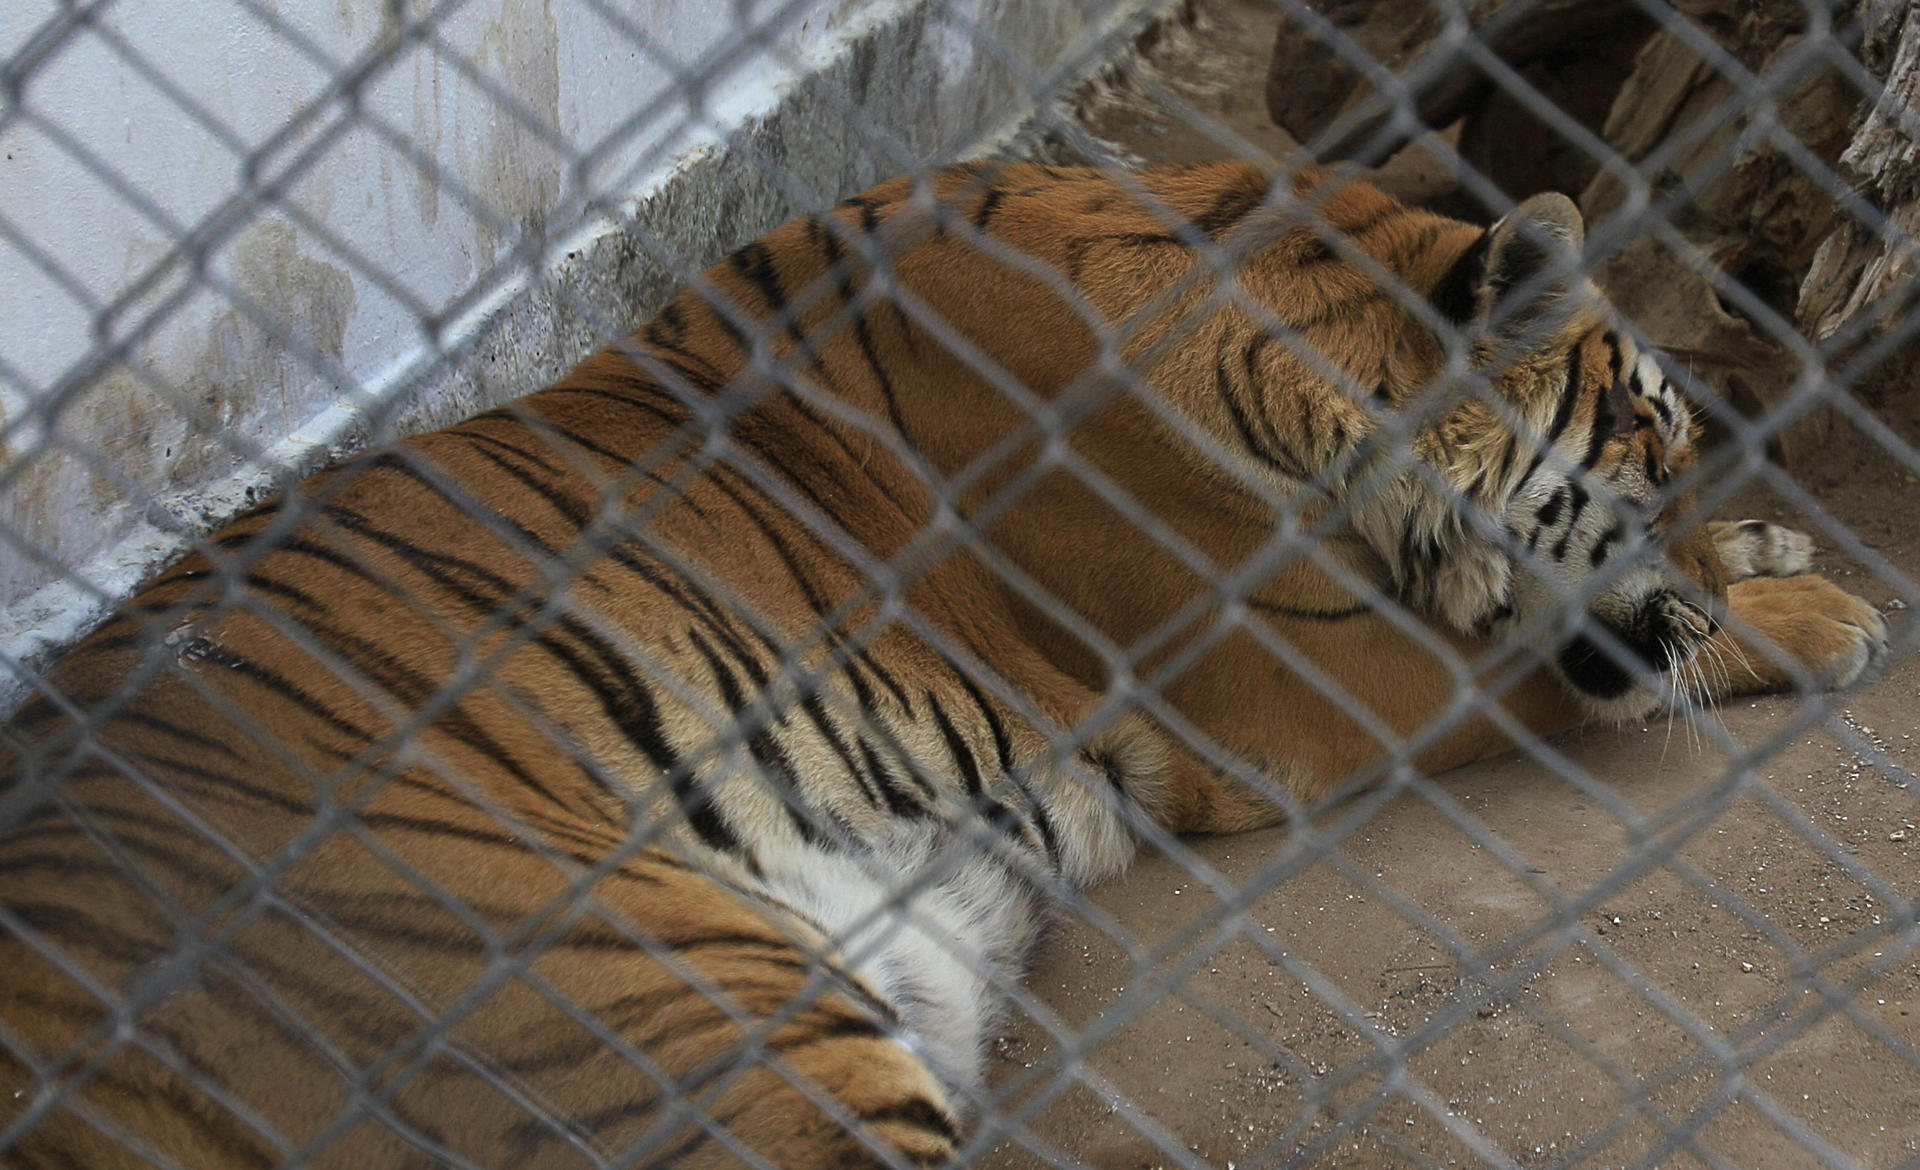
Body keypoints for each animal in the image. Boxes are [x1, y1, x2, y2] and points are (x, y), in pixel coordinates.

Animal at [0, 159, 1889, 1160]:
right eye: (1651, 433)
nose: (1703, 521)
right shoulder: (1301, 673)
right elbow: (1566, 657)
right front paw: (1817, 612)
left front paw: (1772, 553)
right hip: (685, 1012)